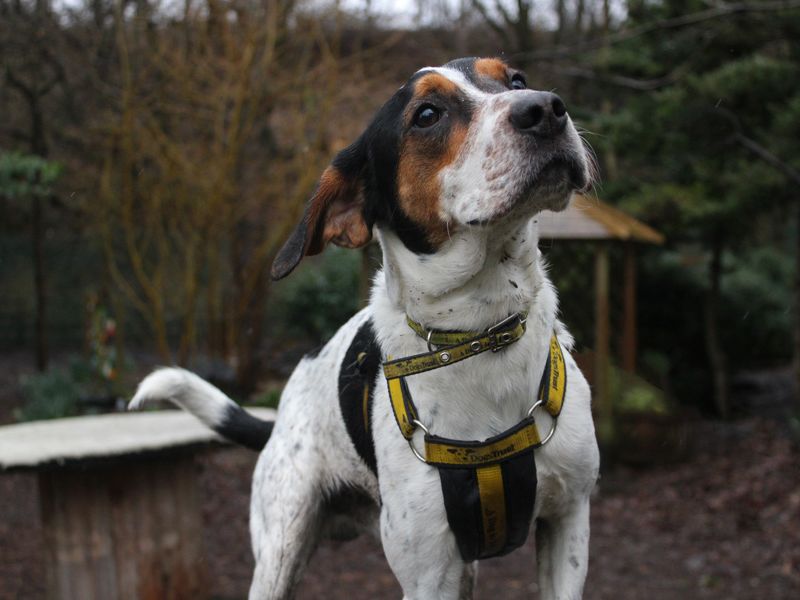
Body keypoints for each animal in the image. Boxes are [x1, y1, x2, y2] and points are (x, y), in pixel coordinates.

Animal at [128, 57, 596, 600]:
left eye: (516, 80)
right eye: (427, 114)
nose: (546, 108)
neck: (482, 332)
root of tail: (280, 414)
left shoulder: (568, 522)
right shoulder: (428, 573)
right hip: (281, 552)